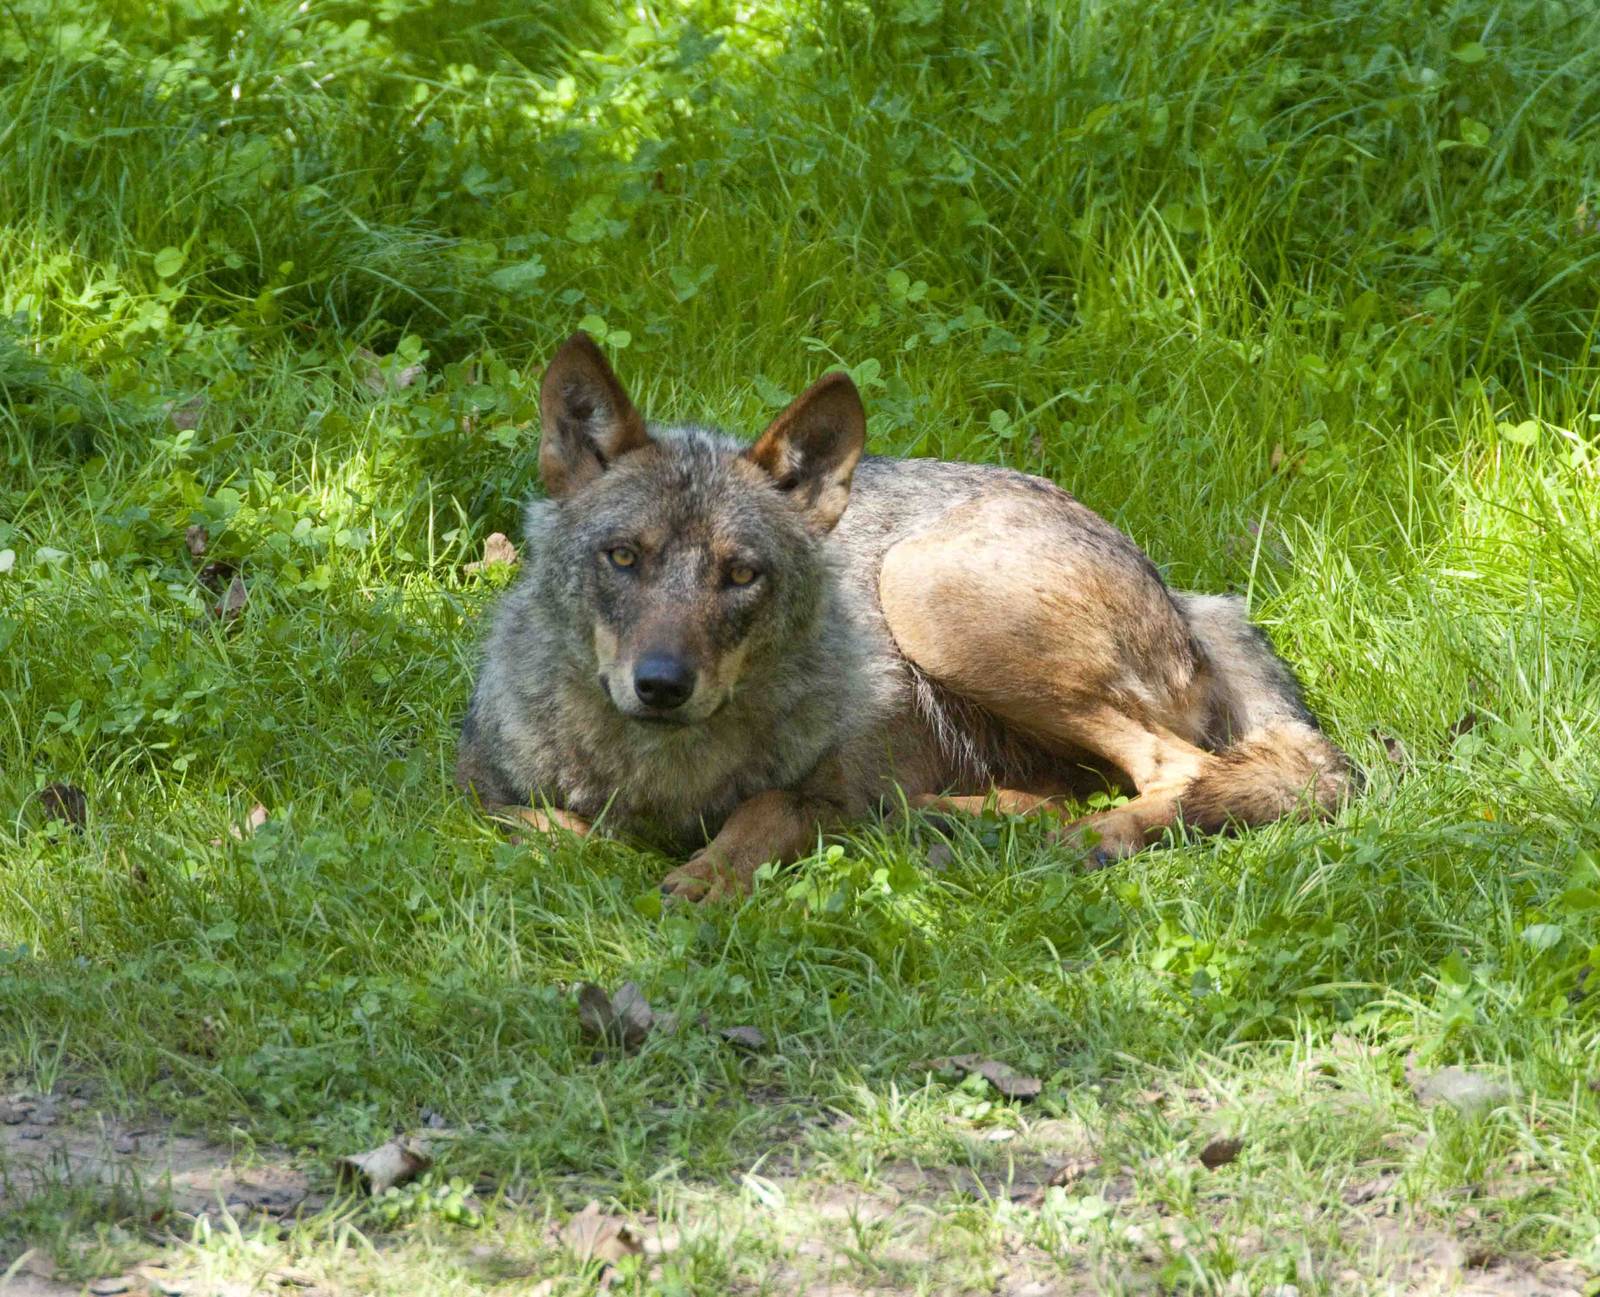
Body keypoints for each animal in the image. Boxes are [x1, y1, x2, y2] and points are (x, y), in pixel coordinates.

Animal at [456, 333, 1356, 900]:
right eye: (623, 558)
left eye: (739, 573)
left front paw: (711, 874)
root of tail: (1190, 597)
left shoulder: (822, 784)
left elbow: (764, 809)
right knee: (1071, 791)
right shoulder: (475, 788)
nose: (662, 685)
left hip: (920, 586)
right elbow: (560, 827)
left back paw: (1081, 835)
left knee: (1177, 769)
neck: (669, 773)